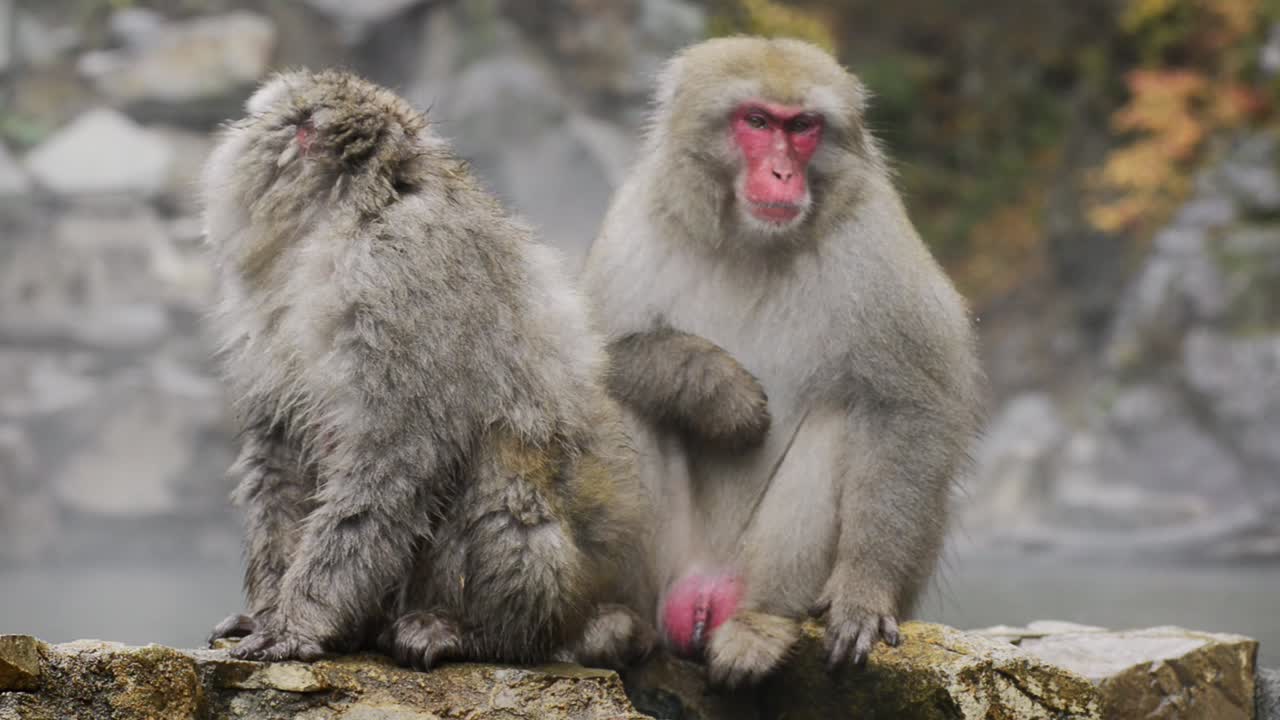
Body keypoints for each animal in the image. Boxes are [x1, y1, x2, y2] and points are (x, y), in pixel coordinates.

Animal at [199, 69, 653, 670]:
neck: (346, 218)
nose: (236, 128)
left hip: (559, 591)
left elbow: (396, 453)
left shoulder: (398, 275)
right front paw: (270, 606)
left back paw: (480, 633)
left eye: (258, 117)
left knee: (506, 459)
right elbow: (279, 448)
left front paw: (299, 620)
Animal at [582, 37, 985, 687]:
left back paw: (761, 626)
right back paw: (617, 623)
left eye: (802, 127)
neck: (751, 242)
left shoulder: (873, 241)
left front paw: (863, 592)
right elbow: (577, 355)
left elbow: (909, 407)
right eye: (756, 121)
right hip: (665, 571)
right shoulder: (635, 224)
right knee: (621, 403)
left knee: (844, 415)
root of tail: (702, 593)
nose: (781, 173)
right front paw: (715, 390)